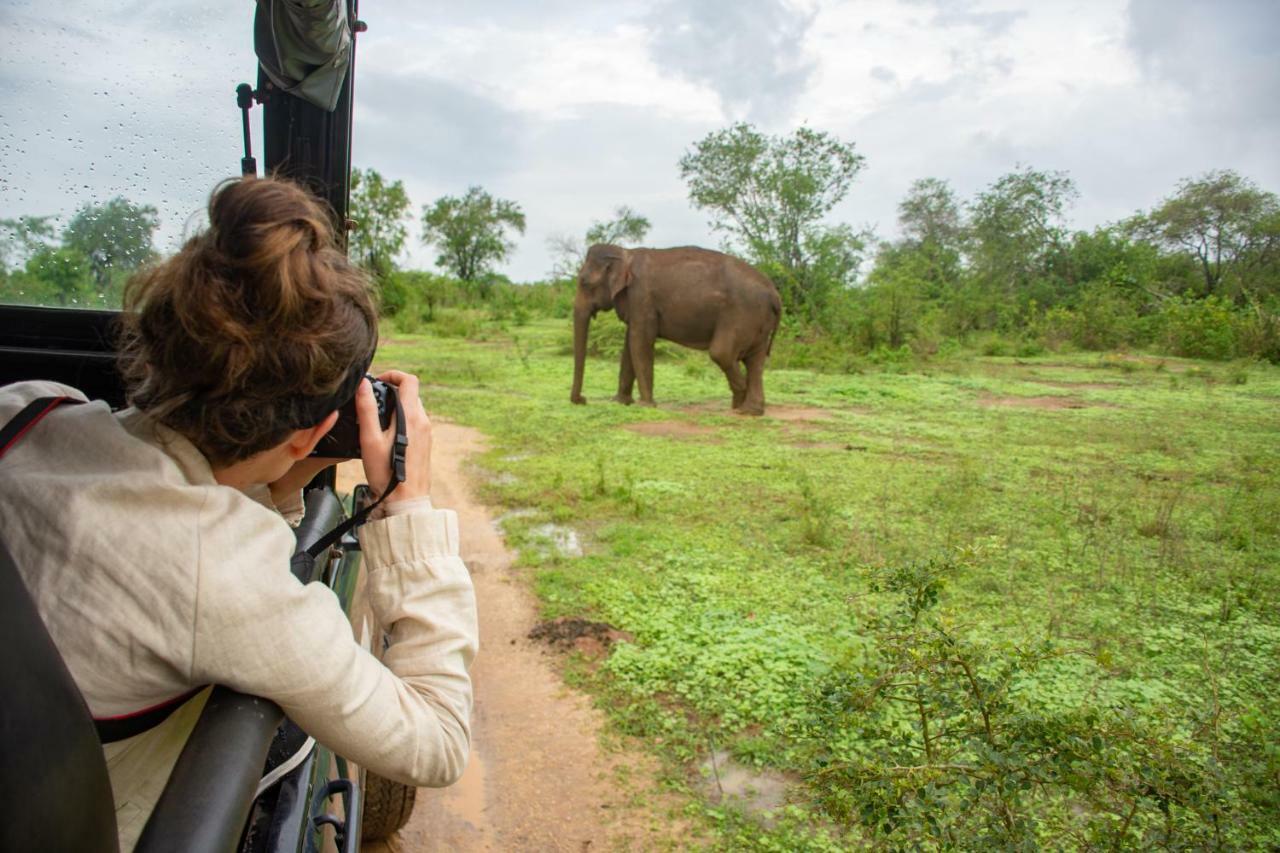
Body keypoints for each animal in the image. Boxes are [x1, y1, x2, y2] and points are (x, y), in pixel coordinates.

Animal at [570, 242, 778, 414]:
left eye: (584, 282)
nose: (582, 400)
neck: (626, 253)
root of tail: (775, 293)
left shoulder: (641, 298)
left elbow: (639, 343)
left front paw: (646, 406)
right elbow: (629, 346)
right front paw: (620, 402)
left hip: (742, 314)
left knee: (723, 353)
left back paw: (741, 401)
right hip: (758, 321)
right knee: (754, 361)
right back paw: (749, 410)